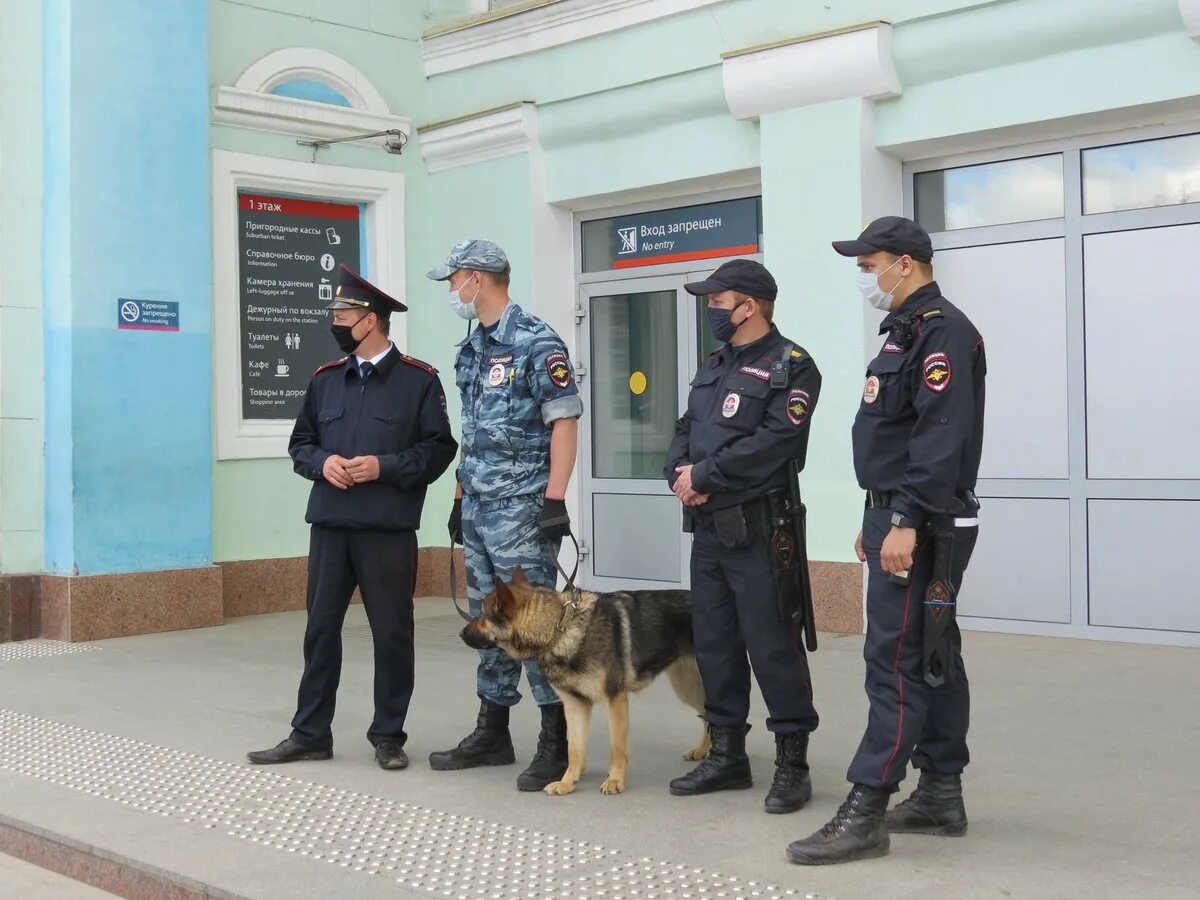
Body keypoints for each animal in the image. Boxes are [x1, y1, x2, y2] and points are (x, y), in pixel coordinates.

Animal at [456, 571, 700, 796]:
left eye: (482, 615)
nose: (460, 633)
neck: (559, 628)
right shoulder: (575, 706)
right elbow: (574, 749)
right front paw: (567, 782)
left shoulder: (615, 701)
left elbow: (617, 747)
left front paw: (615, 780)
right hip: (687, 687)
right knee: (706, 716)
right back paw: (701, 751)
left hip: (691, 688)